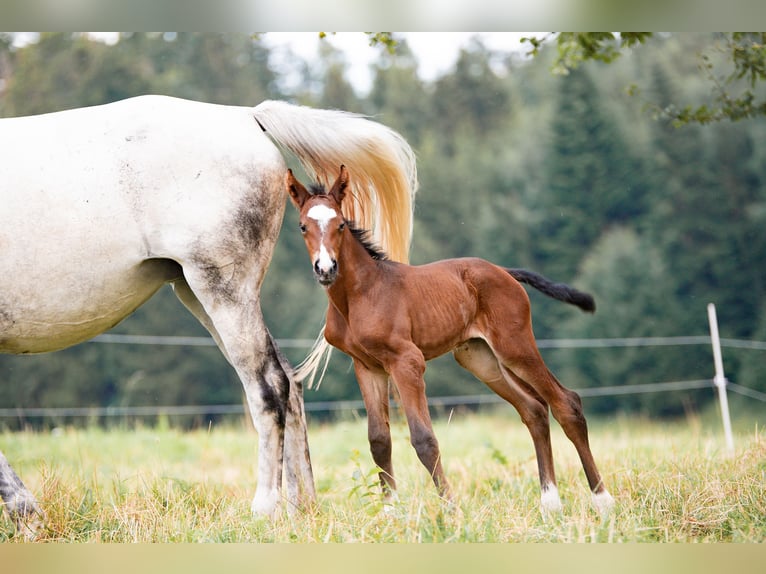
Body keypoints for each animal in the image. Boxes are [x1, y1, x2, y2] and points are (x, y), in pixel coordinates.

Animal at [0, 95, 416, 540]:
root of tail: (246, 115)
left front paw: (27, 518)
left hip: (222, 291)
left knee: (269, 385)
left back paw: (266, 508)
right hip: (199, 293)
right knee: (289, 381)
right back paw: (300, 509)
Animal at [284, 164, 616, 516]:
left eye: (341, 225)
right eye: (303, 226)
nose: (326, 268)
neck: (360, 294)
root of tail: (505, 272)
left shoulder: (407, 361)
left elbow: (423, 439)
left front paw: (450, 510)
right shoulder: (367, 366)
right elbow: (379, 440)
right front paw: (389, 513)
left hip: (514, 346)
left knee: (566, 402)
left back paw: (602, 500)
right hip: (480, 358)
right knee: (534, 410)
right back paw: (550, 502)